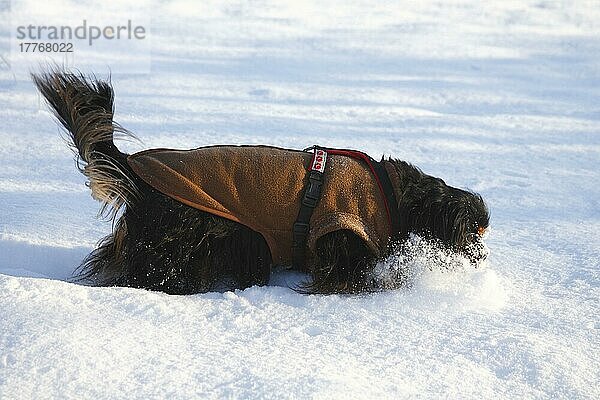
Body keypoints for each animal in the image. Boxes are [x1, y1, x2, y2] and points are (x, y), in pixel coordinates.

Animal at [32, 69, 490, 294]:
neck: (393, 194)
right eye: (474, 236)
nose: (482, 260)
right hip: (179, 243)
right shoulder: (341, 244)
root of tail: (135, 172)